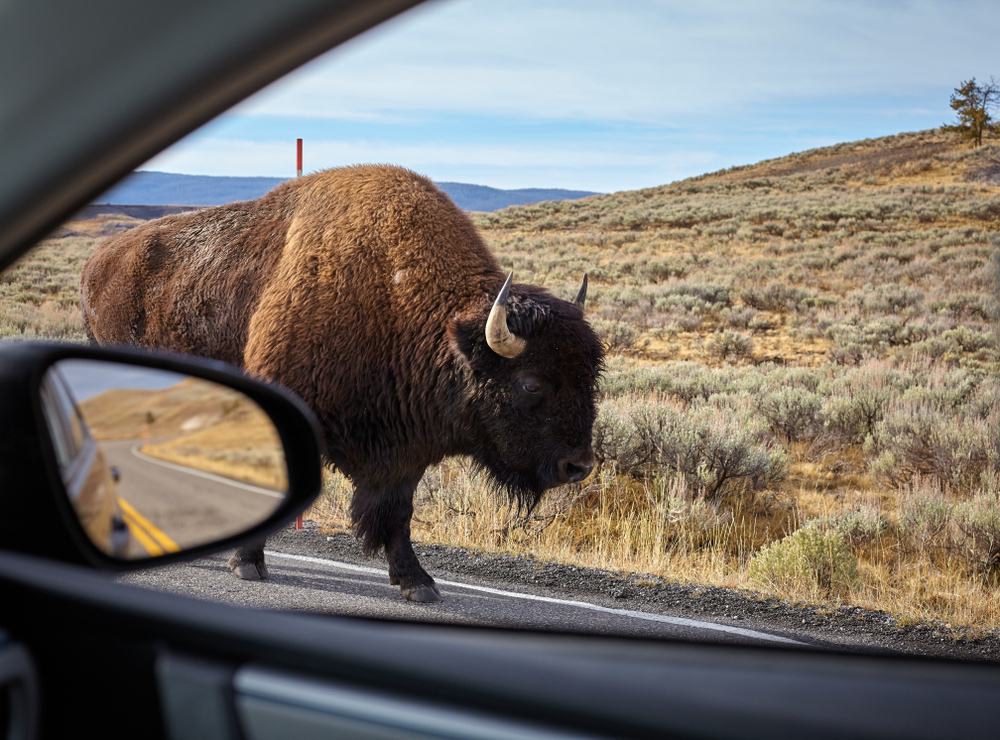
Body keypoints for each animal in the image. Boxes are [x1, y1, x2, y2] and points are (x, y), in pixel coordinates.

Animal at [80, 165, 604, 601]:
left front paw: (417, 582)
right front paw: (248, 564)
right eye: (531, 383)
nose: (579, 466)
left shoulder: (404, 447)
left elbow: (397, 512)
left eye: (592, 376)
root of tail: (98, 260)